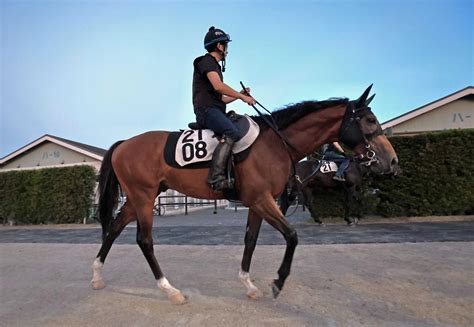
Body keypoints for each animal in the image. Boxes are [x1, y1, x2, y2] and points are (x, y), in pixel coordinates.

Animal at [90, 85, 398, 304]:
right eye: (369, 120)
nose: (392, 161)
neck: (275, 143)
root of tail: (122, 145)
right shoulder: (262, 200)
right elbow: (291, 235)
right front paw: (278, 282)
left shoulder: (257, 203)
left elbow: (251, 240)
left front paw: (249, 284)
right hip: (143, 198)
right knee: (144, 241)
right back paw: (170, 290)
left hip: (137, 199)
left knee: (114, 229)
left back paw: (96, 276)